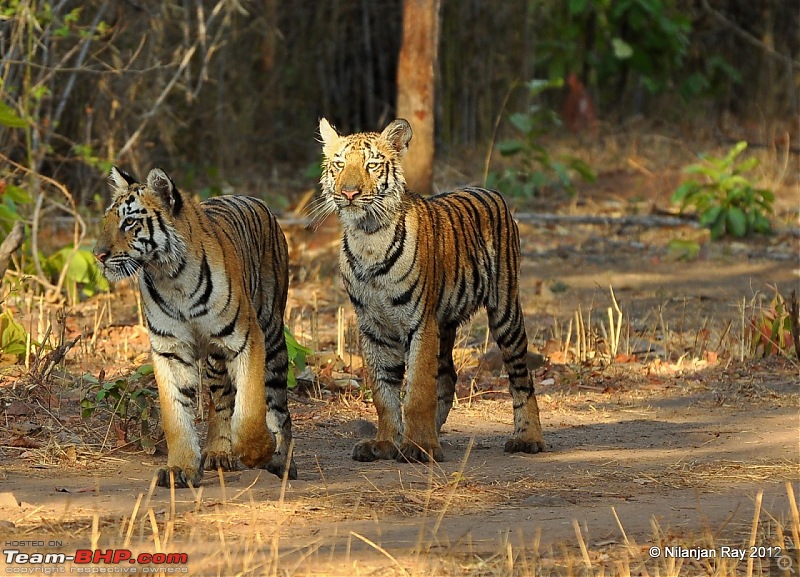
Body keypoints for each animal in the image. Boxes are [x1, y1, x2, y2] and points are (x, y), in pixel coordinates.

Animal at [94, 166, 294, 486]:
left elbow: (250, 409)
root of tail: (249, 196)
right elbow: (175, 416)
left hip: (273, 334)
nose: (98, 255)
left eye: (129, 222)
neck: (170, 275)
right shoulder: (170, 349)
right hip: (215, 356)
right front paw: (180, 468)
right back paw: (219, 452)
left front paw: (259, 452)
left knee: (278, 404)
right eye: (107, 221)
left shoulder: (247, 339)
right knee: (221, 398)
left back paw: (284, 460)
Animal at [316, 118, 548, 464]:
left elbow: (417, 390)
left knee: (521, 377)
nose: (349, 192)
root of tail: (487, 188)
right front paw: (386, 442)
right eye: (339, 164)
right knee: (448, 378)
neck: (367, 236)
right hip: (445, 324)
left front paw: (418, 446)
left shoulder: (419, 322)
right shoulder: (373, 326)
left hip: (505, 310)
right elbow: (384, 392)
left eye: (372, 165)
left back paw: (528, 438)